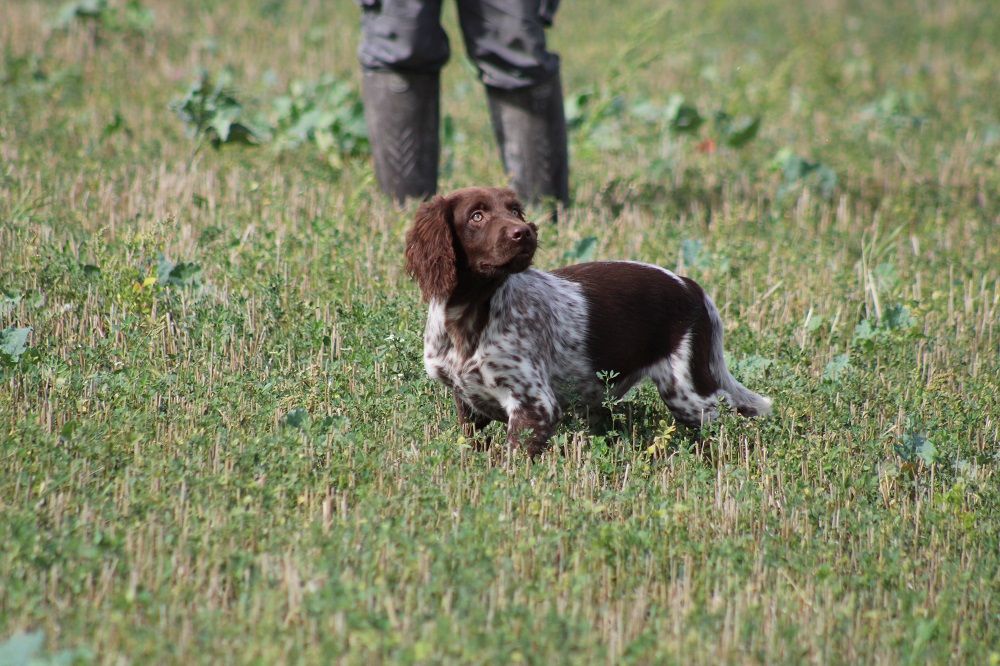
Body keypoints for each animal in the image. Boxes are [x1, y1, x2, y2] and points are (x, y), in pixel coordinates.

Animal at [402, 187, 768, 456]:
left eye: (515, 211)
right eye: (476, 215)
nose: (525, 233)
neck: (470, 316)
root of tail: (690, 285)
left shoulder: (535, 406)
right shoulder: (468, 406)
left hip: (687, 392)